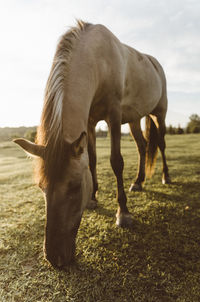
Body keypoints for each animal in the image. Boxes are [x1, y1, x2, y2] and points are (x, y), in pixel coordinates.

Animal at [14, 20, 170, 268]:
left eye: (75, 187)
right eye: (41, 187)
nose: (55, 258)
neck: (98, 60)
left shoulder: (114, 114)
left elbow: (116, 161)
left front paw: (123, 213)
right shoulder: (89, 121)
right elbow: (93, 160)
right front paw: (94, 198)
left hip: (159, 113)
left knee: (161, 144)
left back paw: (165, 177)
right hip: (135, 119)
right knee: (143, 146)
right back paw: (138, 182)